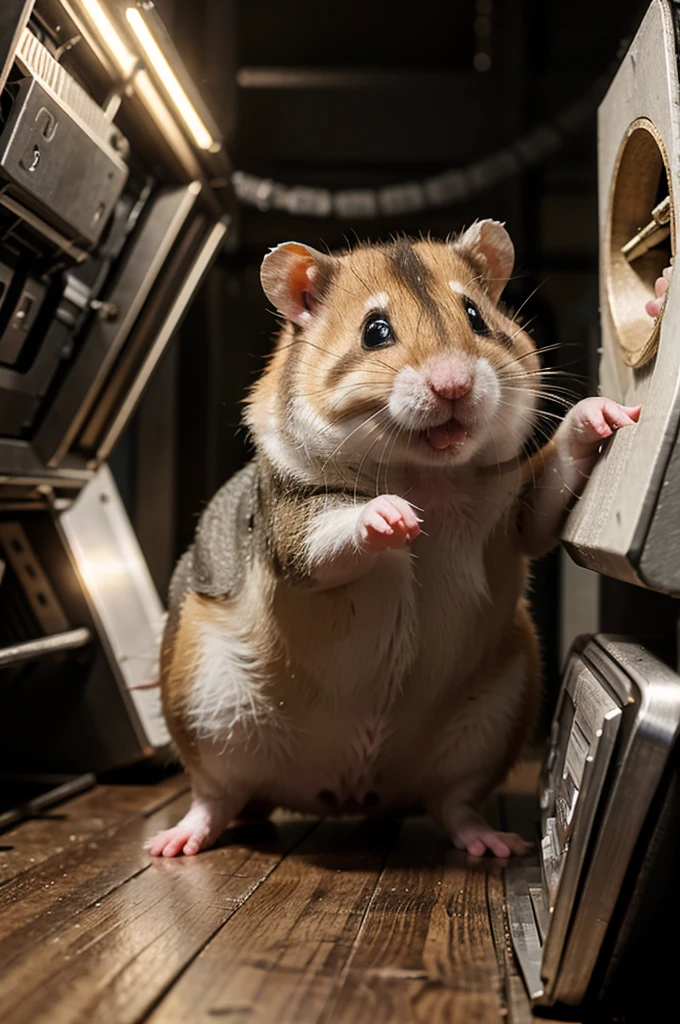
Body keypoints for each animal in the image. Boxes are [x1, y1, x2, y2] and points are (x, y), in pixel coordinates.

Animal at [147, 220, 640, 858]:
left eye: (476, 316)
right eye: (374, 330)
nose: (454, 384)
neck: (425, 470)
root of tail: (347, 790)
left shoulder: (517, 510)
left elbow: (548, 495)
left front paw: (604, 414)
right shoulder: (293, 524)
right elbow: (334, 535)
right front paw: (397, 519)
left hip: (488, 725)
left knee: (454, 804)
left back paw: (494, 844)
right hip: (208, 716)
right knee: (216, 795)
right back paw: (175, 842)